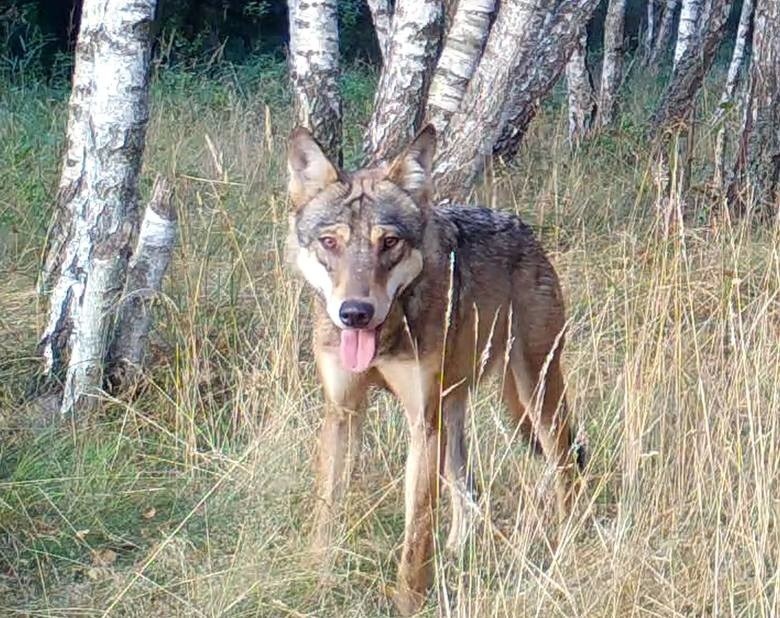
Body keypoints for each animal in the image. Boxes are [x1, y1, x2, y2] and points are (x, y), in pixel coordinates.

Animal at [284, 124, 580, 612]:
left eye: (389, 242)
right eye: (330, 243)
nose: (355, 313)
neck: (385, 340)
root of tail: (522, 227)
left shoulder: (422, 422)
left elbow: (417, 532)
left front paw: (408, 603)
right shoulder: (343, 412)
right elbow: (327, 511)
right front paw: (317, 580)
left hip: (535, 394)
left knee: (566, 468)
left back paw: (570, 539)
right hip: (453, 410)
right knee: (469, 491)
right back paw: (459, 552)